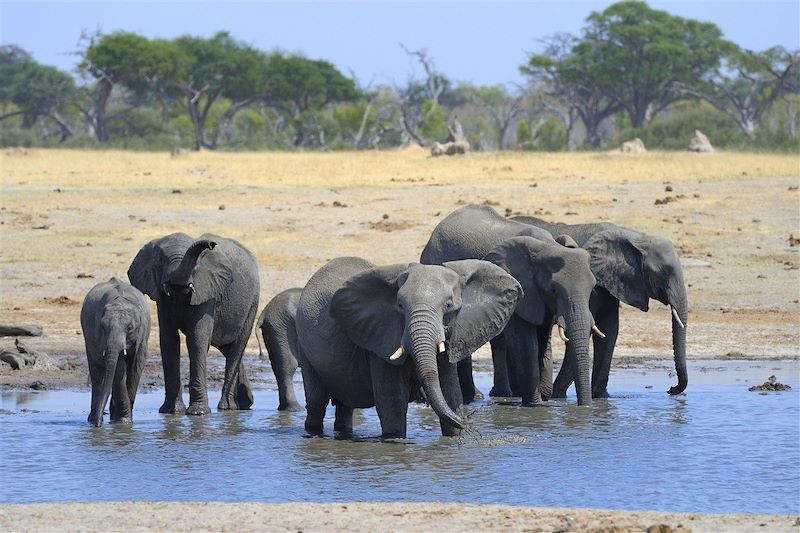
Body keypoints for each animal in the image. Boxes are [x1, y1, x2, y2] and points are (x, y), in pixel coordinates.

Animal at [80, 276, 151, 426]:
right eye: (103, 327)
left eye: (130, 328)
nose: (98, 426)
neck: (120, 301)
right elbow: (118, 368)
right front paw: (124, 421)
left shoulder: (142, 335)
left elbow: (136, 366)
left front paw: (125, 421)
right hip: (88, 340)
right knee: (96, 373)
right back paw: (93, 418)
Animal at [128, 234, 258, 416]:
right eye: (160, 260)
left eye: (196, 263)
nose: (211, 244)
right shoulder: (162, 296)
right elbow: (169, 340)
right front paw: (170, 412)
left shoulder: (207, 290)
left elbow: (197, 339)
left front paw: (198, 413)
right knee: (226, 347)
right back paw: (245, 403)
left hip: (252, 303)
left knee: (236, 349)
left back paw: (227, 408)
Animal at [292, 256, 520, 436]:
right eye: (400, 306)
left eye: (449, 306)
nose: (468, 423)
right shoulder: (381, 339)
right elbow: (393, 405)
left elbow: (450, 392)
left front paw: (453, 435)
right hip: (305, 345)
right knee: (317, 403)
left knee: (344, 407)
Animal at [422, 206, 596, 406]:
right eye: (554, 289)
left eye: (593, 287)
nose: (585, 407)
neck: (546, 246)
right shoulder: (519, 287)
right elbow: (525, 342)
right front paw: (535, 405)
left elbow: (543, 338)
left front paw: (543, 399)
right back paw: (473, 398)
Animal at [516, 214, 692, 396]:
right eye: (662, 273)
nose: (670, 389)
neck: (635, 236)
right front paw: (558, 396)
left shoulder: (610, 281)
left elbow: (610, 329)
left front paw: (601, 396)